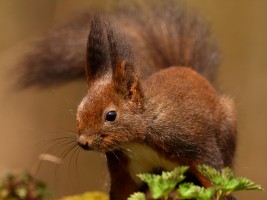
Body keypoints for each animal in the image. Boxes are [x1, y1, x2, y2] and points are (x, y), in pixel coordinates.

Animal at [18, 1, 237, 200]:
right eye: (79, 111)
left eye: (111, 115)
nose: (83, 142)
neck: (138, 139)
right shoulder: (125, 168)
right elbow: (124, 191)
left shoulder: (192, 142)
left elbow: (213, 175)